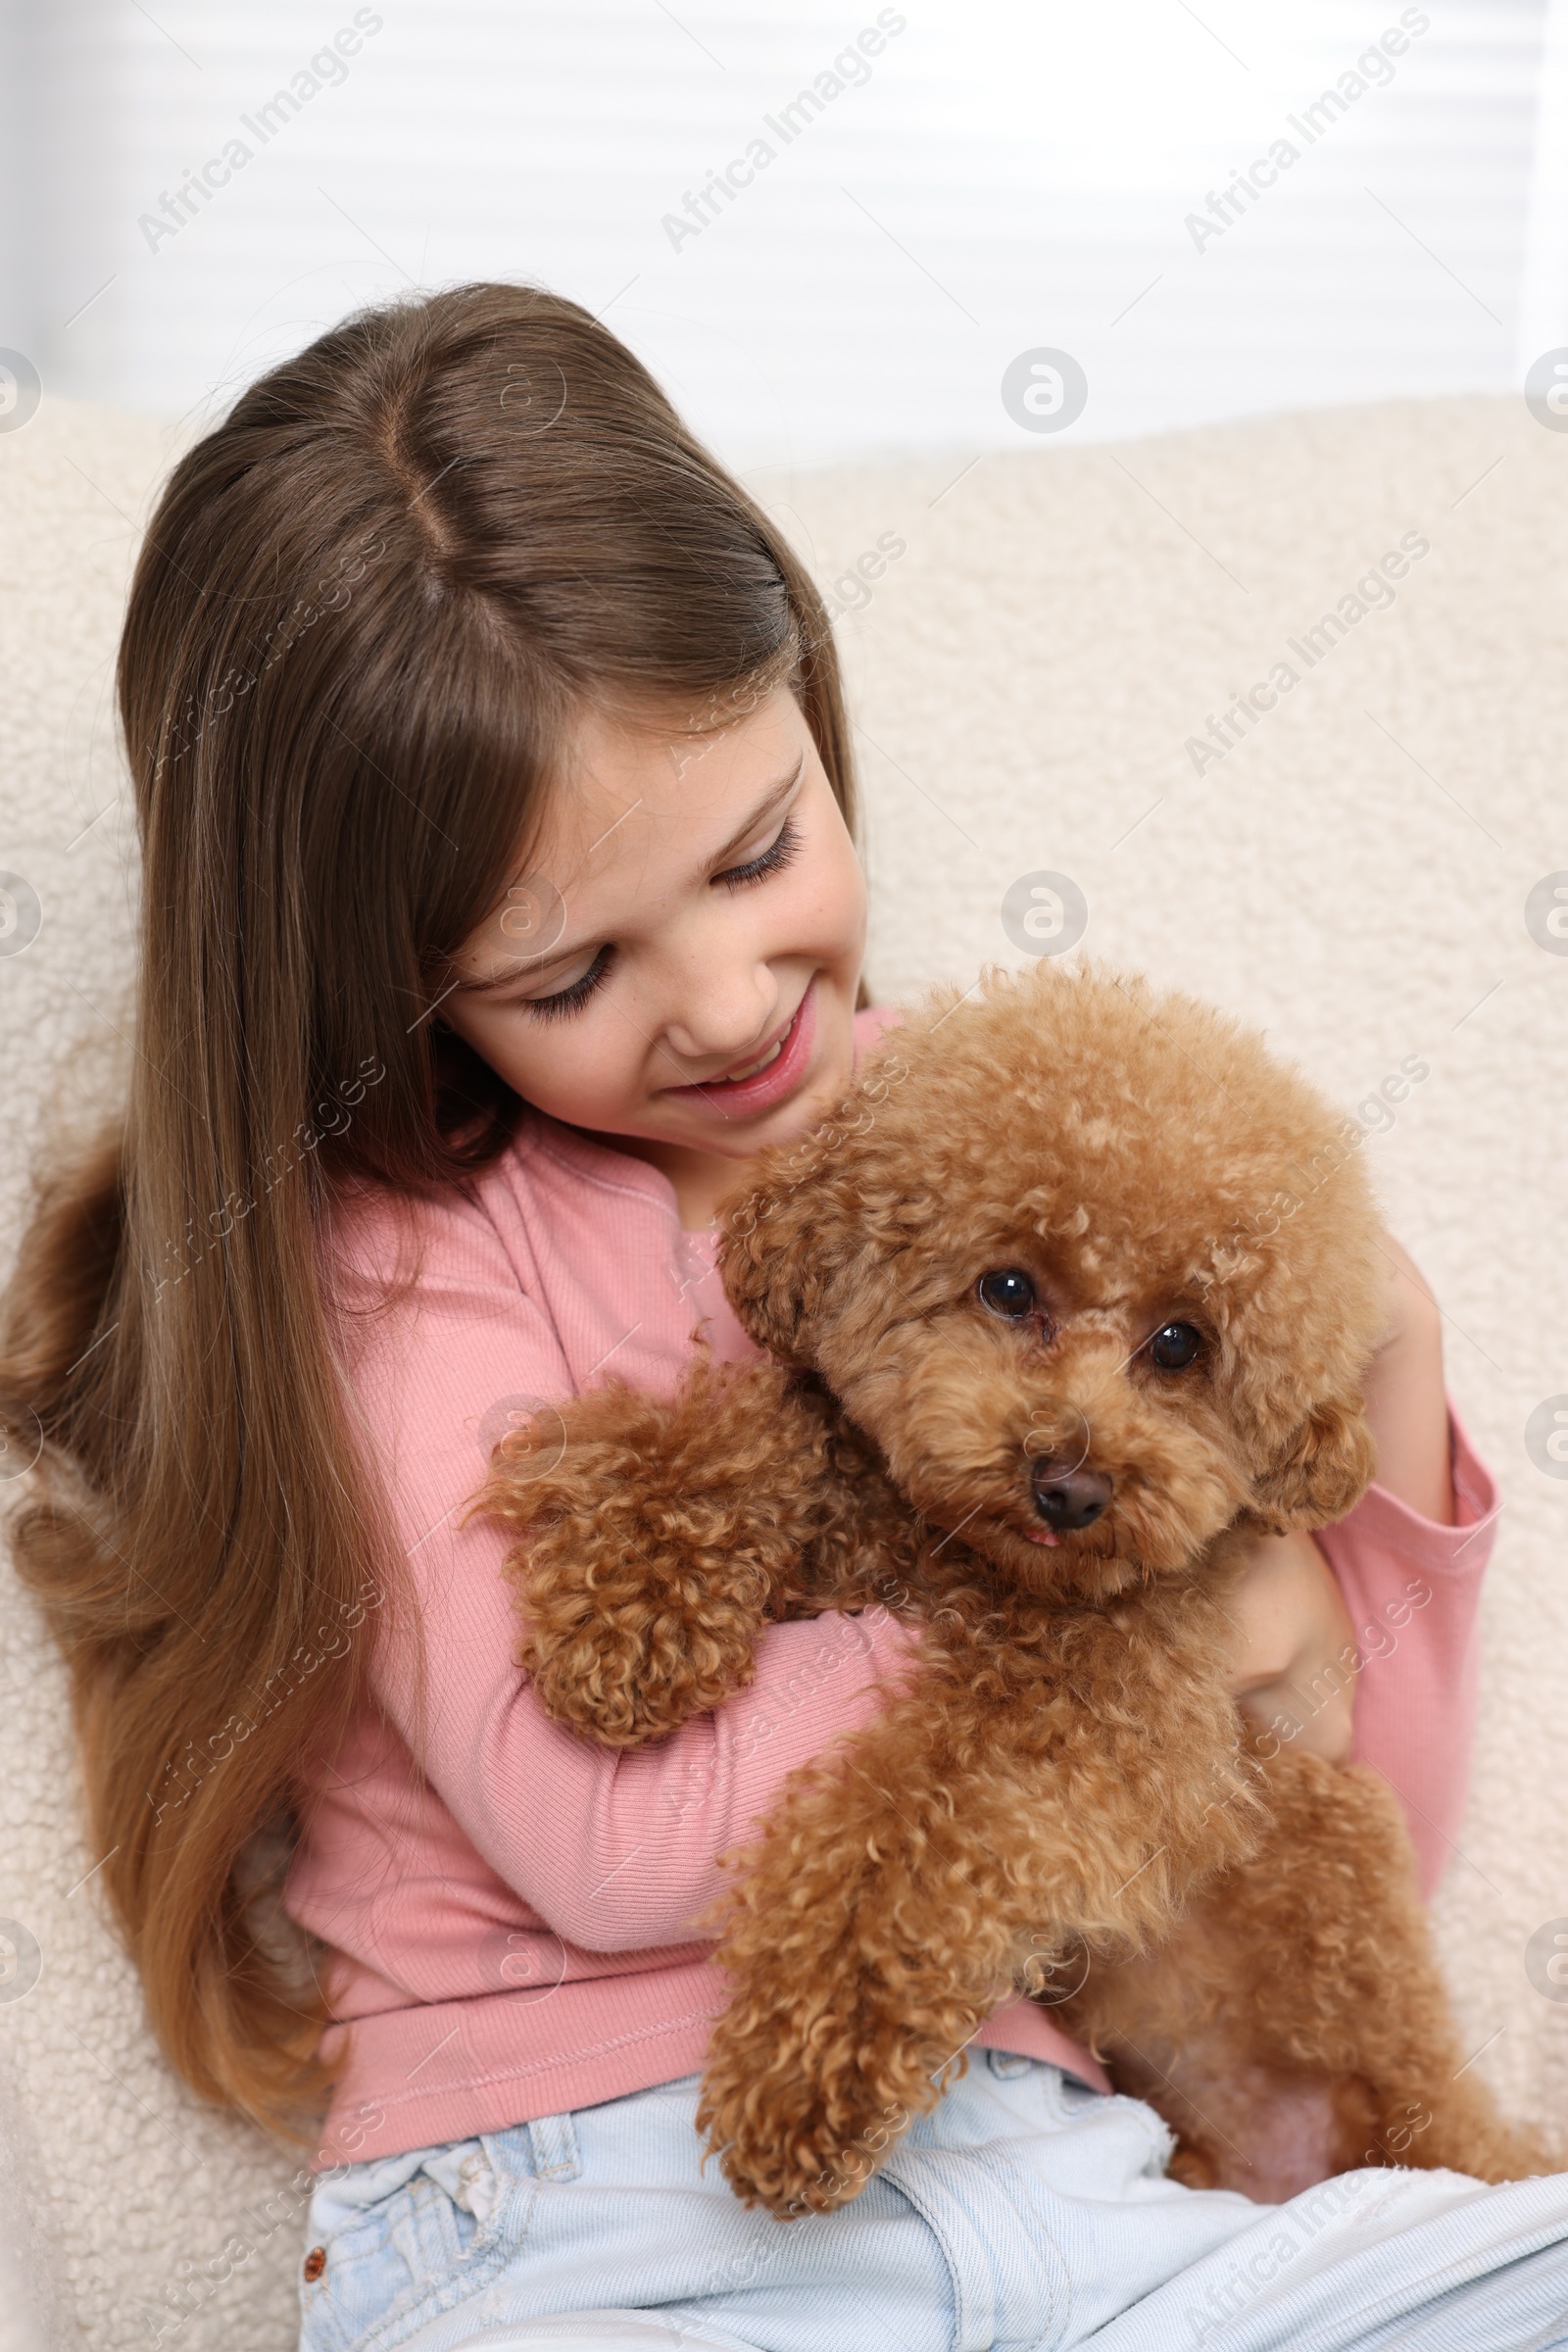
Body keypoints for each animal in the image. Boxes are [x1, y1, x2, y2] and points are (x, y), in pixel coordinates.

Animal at [479, 964, 1560, 2211]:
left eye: (1180, 1344)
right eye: (1006, 1287)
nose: (1071, 1485)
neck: (962, 1561)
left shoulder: (1088, 1729)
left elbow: (906, 1839)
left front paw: (802, 2081)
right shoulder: (856, 1480)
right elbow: (750, 1441)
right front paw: (630, 1612)